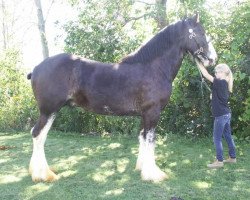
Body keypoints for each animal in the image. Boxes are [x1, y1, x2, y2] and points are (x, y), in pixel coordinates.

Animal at [27, 13, 217, 183]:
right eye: (200, 33)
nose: (212, 59)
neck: (153, 68)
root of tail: (36, 68)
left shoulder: (144, 114)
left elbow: (142, 138)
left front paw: (142, 168)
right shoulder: (152, 112)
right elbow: (150, 140)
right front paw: (153, 174)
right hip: (49, 110)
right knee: (38, 135)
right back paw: (43, 175)